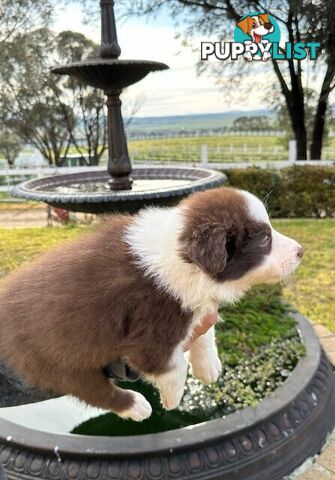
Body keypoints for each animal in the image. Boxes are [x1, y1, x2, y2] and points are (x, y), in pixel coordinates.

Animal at [0, 188, 304, 420]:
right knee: (92, 390)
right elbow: (174, 365)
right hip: (54, 359)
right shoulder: (150, 334)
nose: (301, 251)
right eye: (264, 239)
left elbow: (204, 328)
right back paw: (135, 406)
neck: (181, 255)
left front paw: (209, 366)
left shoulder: (193, 304)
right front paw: (172, 398)